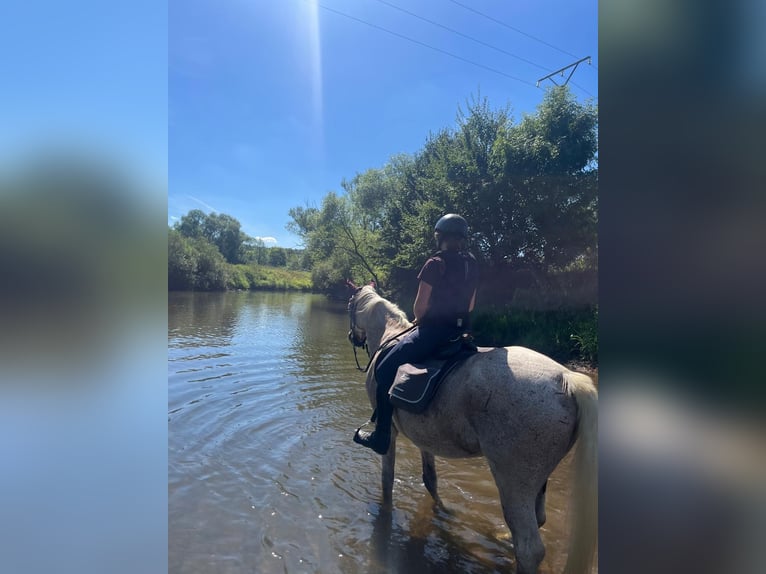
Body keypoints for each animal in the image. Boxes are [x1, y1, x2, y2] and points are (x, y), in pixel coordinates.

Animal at [348, 286, 600, 574]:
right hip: (538, 479)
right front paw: (443, 512)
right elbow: (430, 480)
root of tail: (565, 378)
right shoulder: (425, 438)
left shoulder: (389, 432)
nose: (352, 336)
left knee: (529, 548)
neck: (388, 335)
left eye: (349, 303)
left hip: (515, 483)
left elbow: (387, 480)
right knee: (538, 520)